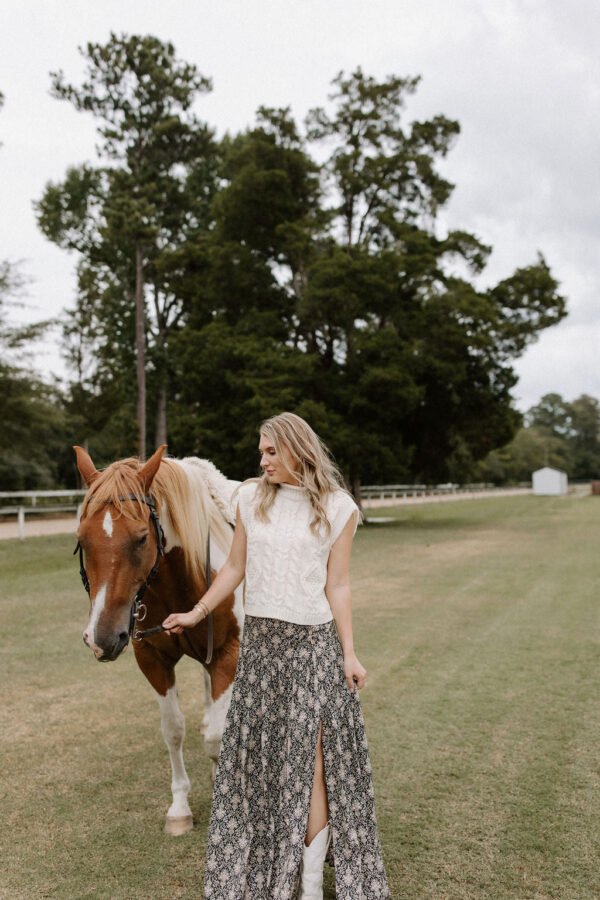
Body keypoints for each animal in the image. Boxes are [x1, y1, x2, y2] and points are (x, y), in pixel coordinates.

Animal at [73, 442, 244, 836]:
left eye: (141, 538)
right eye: (82, 540)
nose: (102, 636)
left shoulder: (228, 652)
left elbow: (217, 736)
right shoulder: (152, 658)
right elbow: (173, 730)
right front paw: (180, 808)